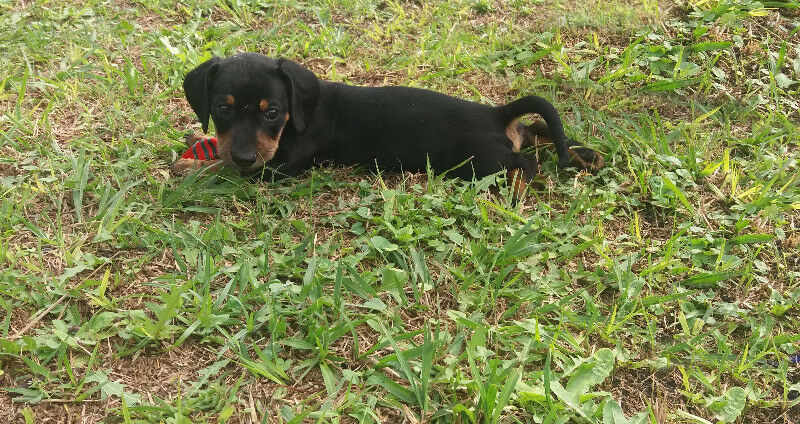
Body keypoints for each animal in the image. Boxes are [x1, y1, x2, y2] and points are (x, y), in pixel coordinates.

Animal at [180, 51, 600, 194]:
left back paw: (518, 189)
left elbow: (225, 173)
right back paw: (586, 155)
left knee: (524, 161)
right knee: (535, 132)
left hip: (481, 161)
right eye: (221, 109)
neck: (302, 111)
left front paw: (190, 170)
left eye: (271, 112)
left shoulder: (281, 166)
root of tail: (495, 114)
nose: (244, 157)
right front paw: (198, 144)